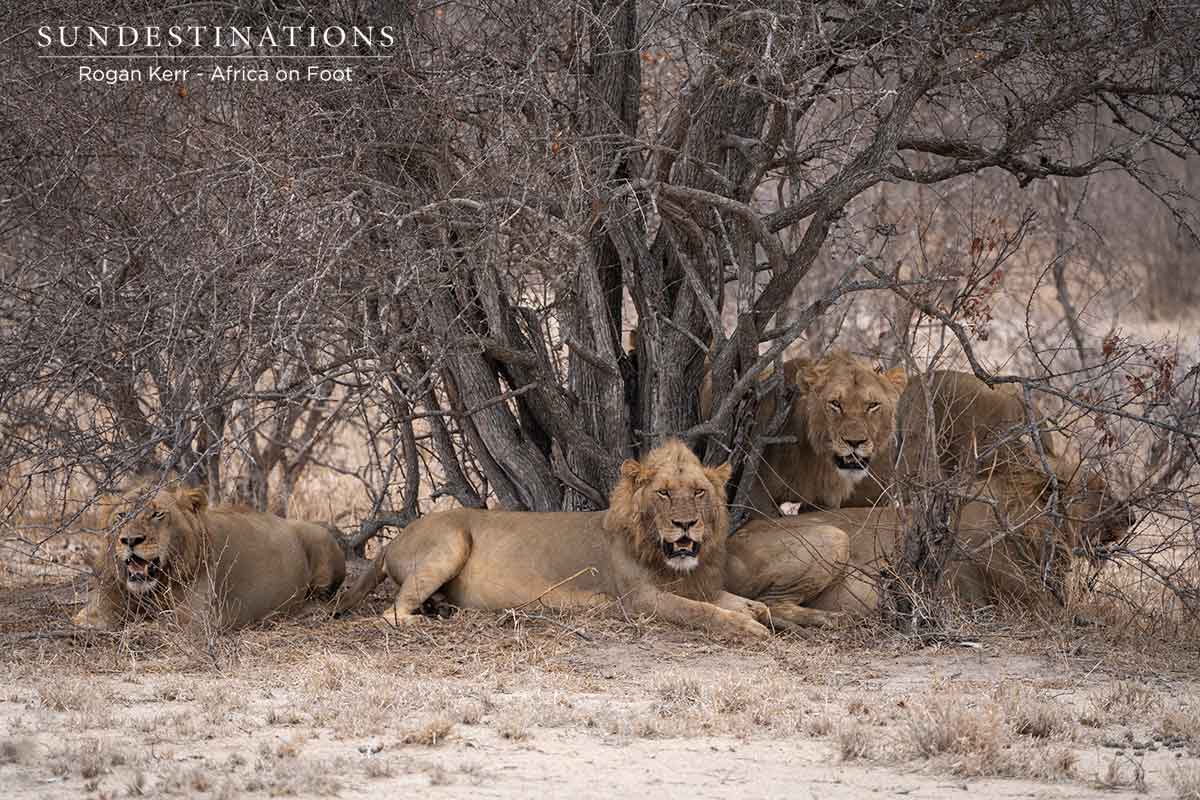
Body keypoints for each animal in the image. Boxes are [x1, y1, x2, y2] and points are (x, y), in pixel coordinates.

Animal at [73, 483, 347, 631]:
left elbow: (149, 623)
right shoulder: (95, 609)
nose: (130, 540)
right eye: (121, 516)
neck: (151, 590)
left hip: (319, 536)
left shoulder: (198, 619)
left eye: (158, 514)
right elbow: (88, 619)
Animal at [333, 439, 771, 638]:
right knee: (390, 613)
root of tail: (391, 541)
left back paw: (440, 609)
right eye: (663, 493)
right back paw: (429, 620)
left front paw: (759, 614)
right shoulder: (640, 601)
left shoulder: (698, 585)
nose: (685, 524)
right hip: (451, 540)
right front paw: (748, 628)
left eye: (698, 492)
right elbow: (701, 612)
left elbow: (748, 604)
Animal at [705, 351, 906, 516]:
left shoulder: (822, 504)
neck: (816, 461)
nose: (855, 442)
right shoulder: (753, 497)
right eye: (835, 403)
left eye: (873, 405)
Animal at [725, 458, 1133, 626]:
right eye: (1099, 492)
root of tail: (727, 541)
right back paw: (840, 619)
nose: (1130, 517)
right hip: (833, 536)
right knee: (773, 606)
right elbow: (1087, 616)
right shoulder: (1028, 603)